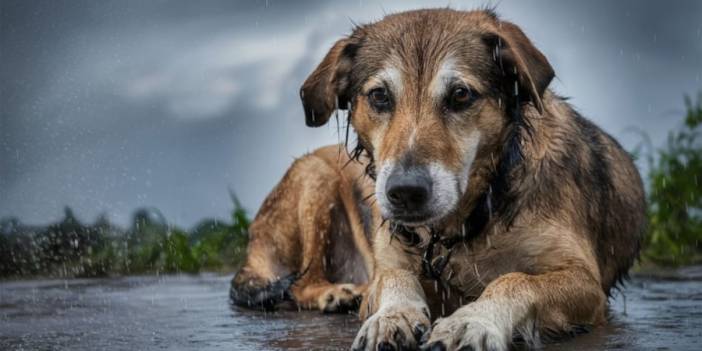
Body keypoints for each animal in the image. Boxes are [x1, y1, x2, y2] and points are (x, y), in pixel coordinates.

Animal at [298, 6, 648, 350]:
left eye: (460, 94)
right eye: (380, 96)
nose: (406, 192)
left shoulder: (585, 283)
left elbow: (514, 279)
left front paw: (472, 321)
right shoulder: (389, 261)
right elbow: (393, 277)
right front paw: (392, 316)